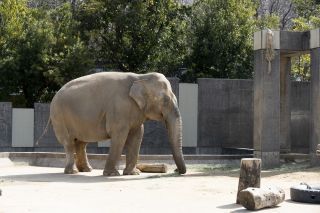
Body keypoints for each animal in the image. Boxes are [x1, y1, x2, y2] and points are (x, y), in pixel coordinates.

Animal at [48, 71, 186, 176]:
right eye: (165, 100)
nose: (175, 170)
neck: (141, 77)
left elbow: (137, 135)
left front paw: (133, 173)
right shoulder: (119, 108)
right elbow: (120, 136)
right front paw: (112, 174)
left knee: (81, 143)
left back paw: (87, 170)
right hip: (60, 116)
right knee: (69, 143)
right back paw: (73, 172)